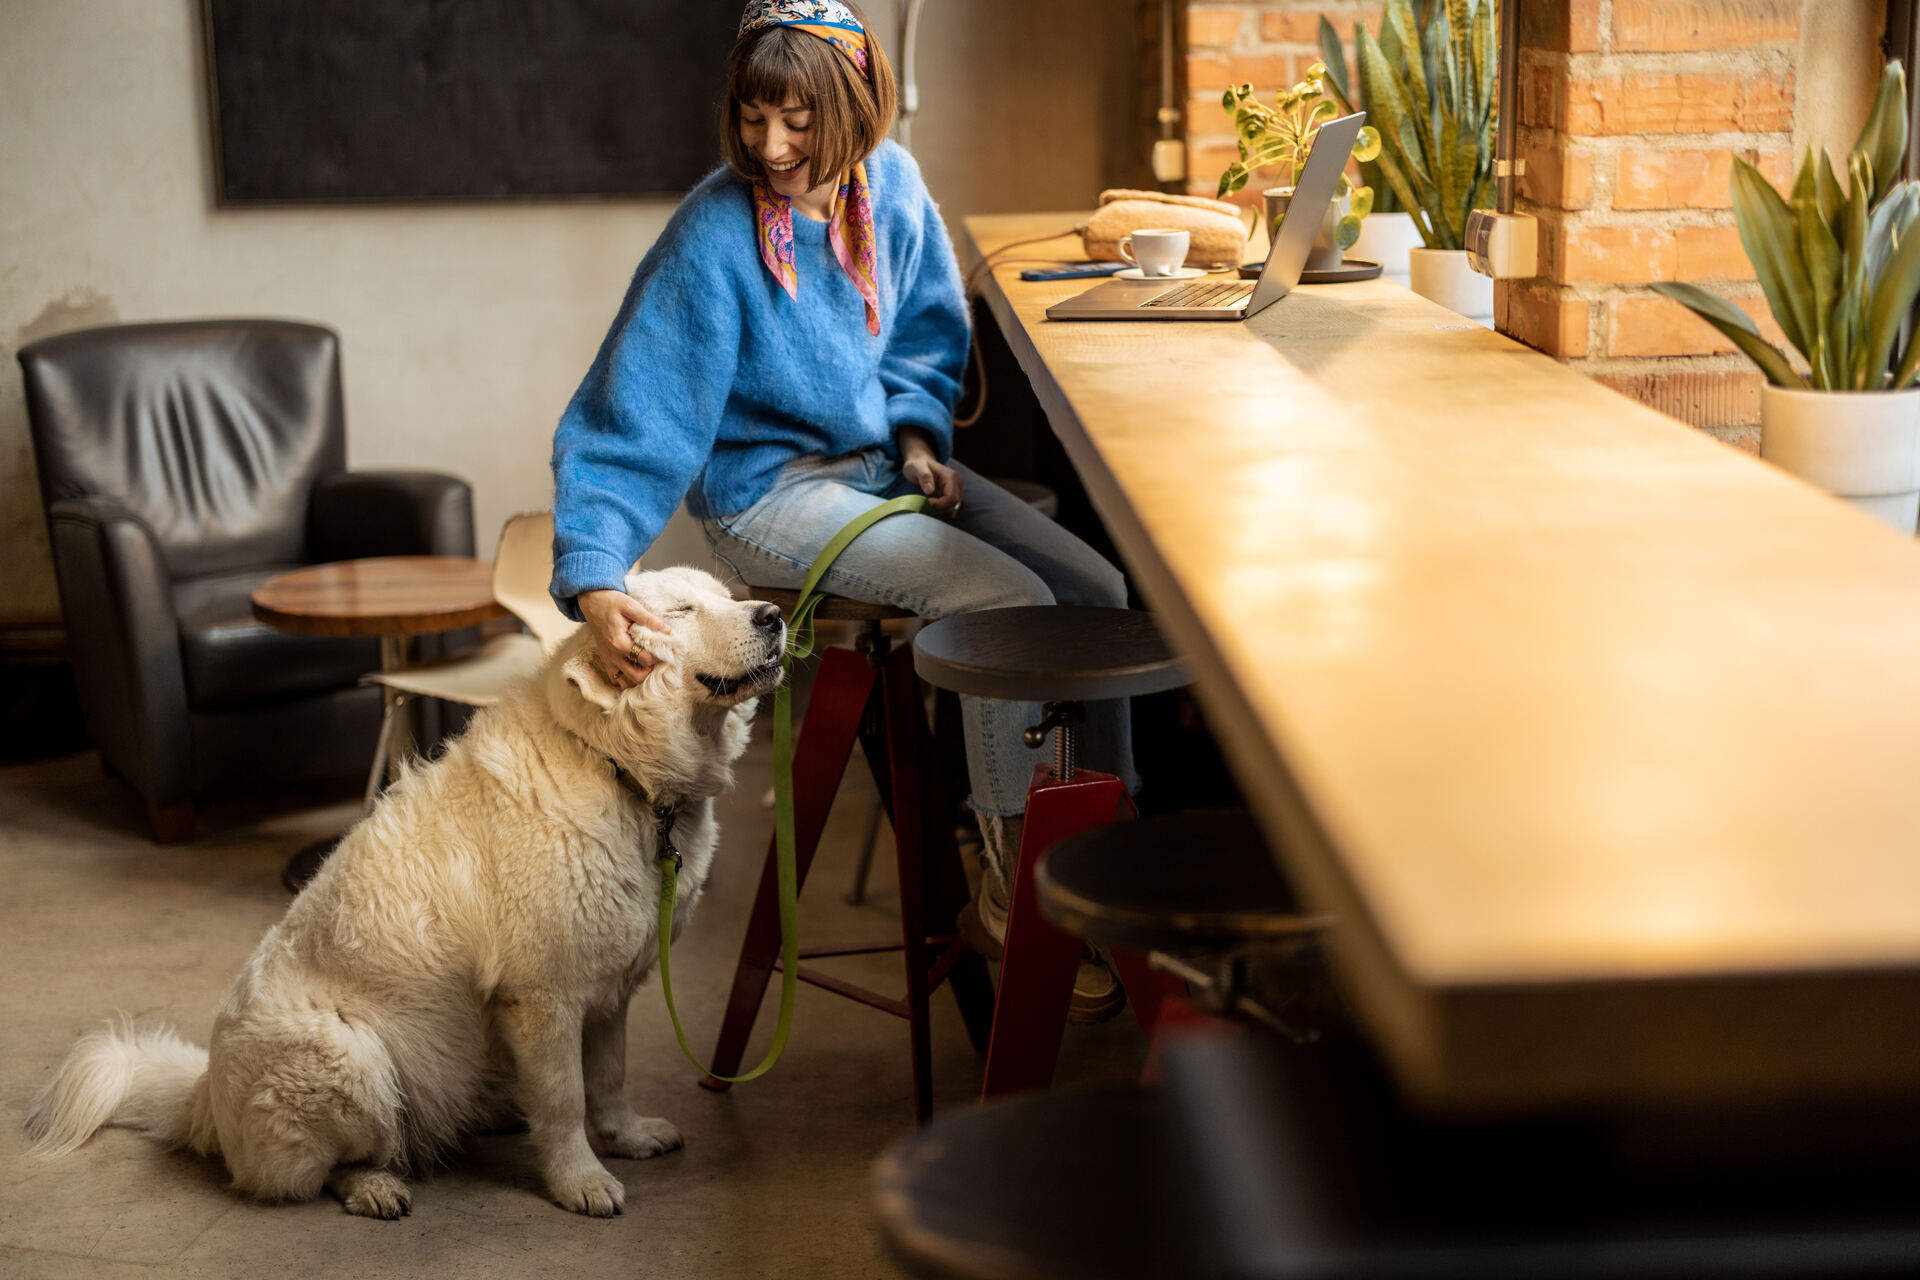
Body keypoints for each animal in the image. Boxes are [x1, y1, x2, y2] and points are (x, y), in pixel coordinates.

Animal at [24, 564, 787, 1220]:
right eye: (682, 612)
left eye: (725, 596)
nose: (775, 615)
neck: (617, 768)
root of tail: (204, 1095)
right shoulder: (545, 996)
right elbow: (566, 1098)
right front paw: (581, 1181)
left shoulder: (608, 990)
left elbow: (609, 1079)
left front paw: (626, 1138)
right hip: (352, 1058)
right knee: (316, 1171)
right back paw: (375, 1187)